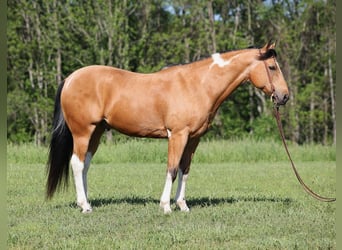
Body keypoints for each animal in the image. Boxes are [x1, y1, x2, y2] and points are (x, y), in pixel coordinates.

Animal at [46, 41, 290, 213]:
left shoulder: (193, 138)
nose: (285, 96)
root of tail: (70, 78)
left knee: (85, 165)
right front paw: (165, 206)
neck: (198, 85)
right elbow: (172, 169)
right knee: (77, 164)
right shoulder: (178, 135)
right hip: (83, 132)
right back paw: (85, 206)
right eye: (272, 67)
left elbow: (185, 170)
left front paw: (182, 205)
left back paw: (87, 202)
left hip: (96, 132)